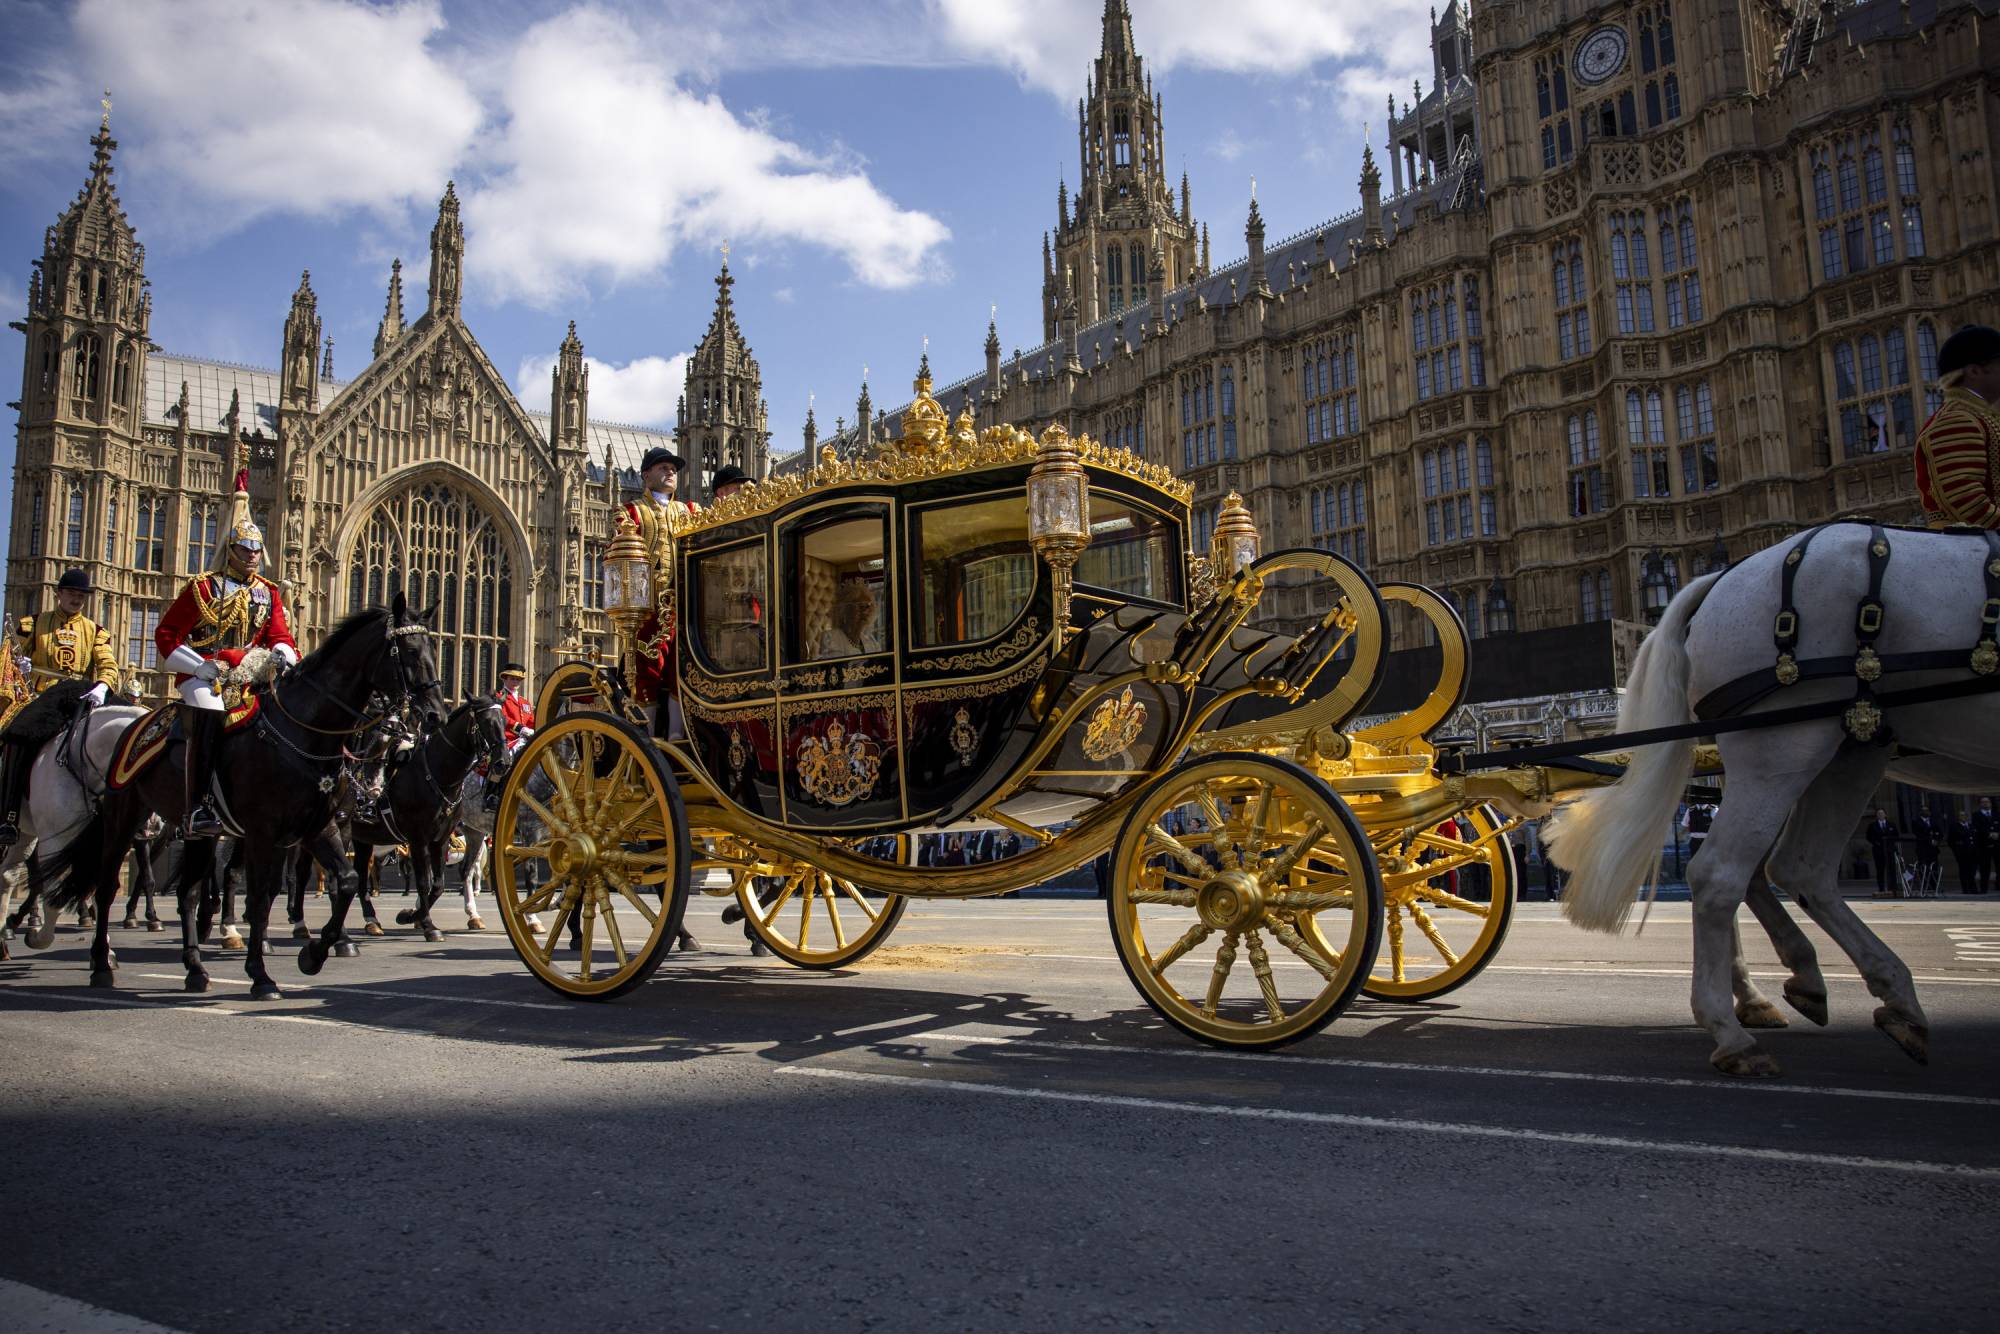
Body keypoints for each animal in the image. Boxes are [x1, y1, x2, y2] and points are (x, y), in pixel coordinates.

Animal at [34, 596, 446, 1000]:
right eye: (409, 650)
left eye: (432, 648)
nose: (435, 714)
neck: (303, 732)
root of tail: (133, 722)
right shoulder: (263, 830)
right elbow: (261, 897)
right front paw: (261, 973)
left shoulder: (320, 825)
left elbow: (343, 880)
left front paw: (315, 954)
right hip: (125, 816)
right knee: (108, 885)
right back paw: (103, 961)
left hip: (197, 830)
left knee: (186, 892)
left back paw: (195, 968)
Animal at [1544, 528, 2000, 1080]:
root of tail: (1720, 580)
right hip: (1790, 743)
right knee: (1727, 871)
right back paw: (1739, 1031)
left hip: (1846, 747)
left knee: (1780, 870)